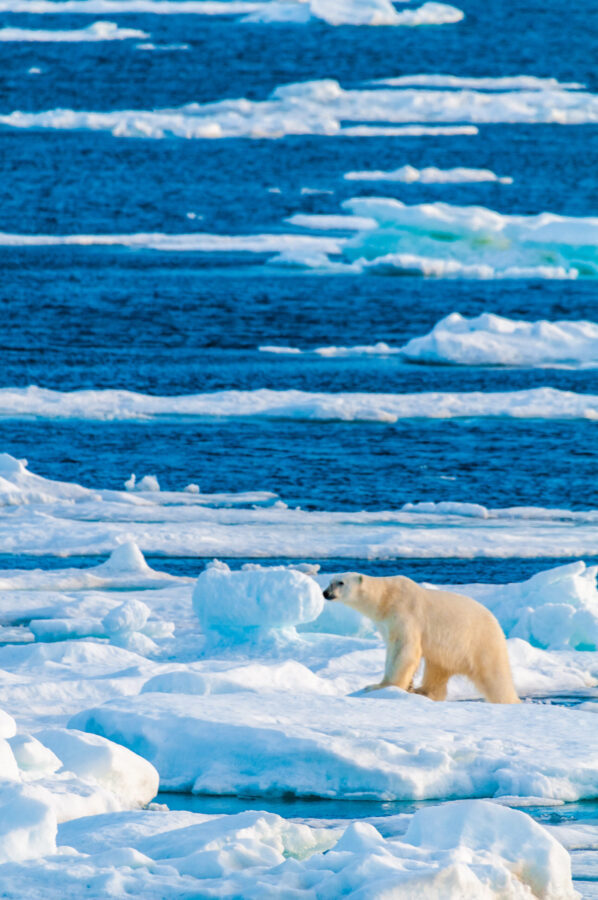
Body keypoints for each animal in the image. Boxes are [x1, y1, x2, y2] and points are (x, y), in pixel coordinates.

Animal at [322, 573, 519, 704]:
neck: (387, 598)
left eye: (340, 582)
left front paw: (379, 686)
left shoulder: (405, 614)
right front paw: (407, 686)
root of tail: (496, 622)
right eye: (329, 582)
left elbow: (404, 650)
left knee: (495, 676)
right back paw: (423, 691)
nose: (325, 593)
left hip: (480, 641)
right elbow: (393, 650)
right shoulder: (387, 623)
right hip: (448, 650)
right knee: (437, 669)